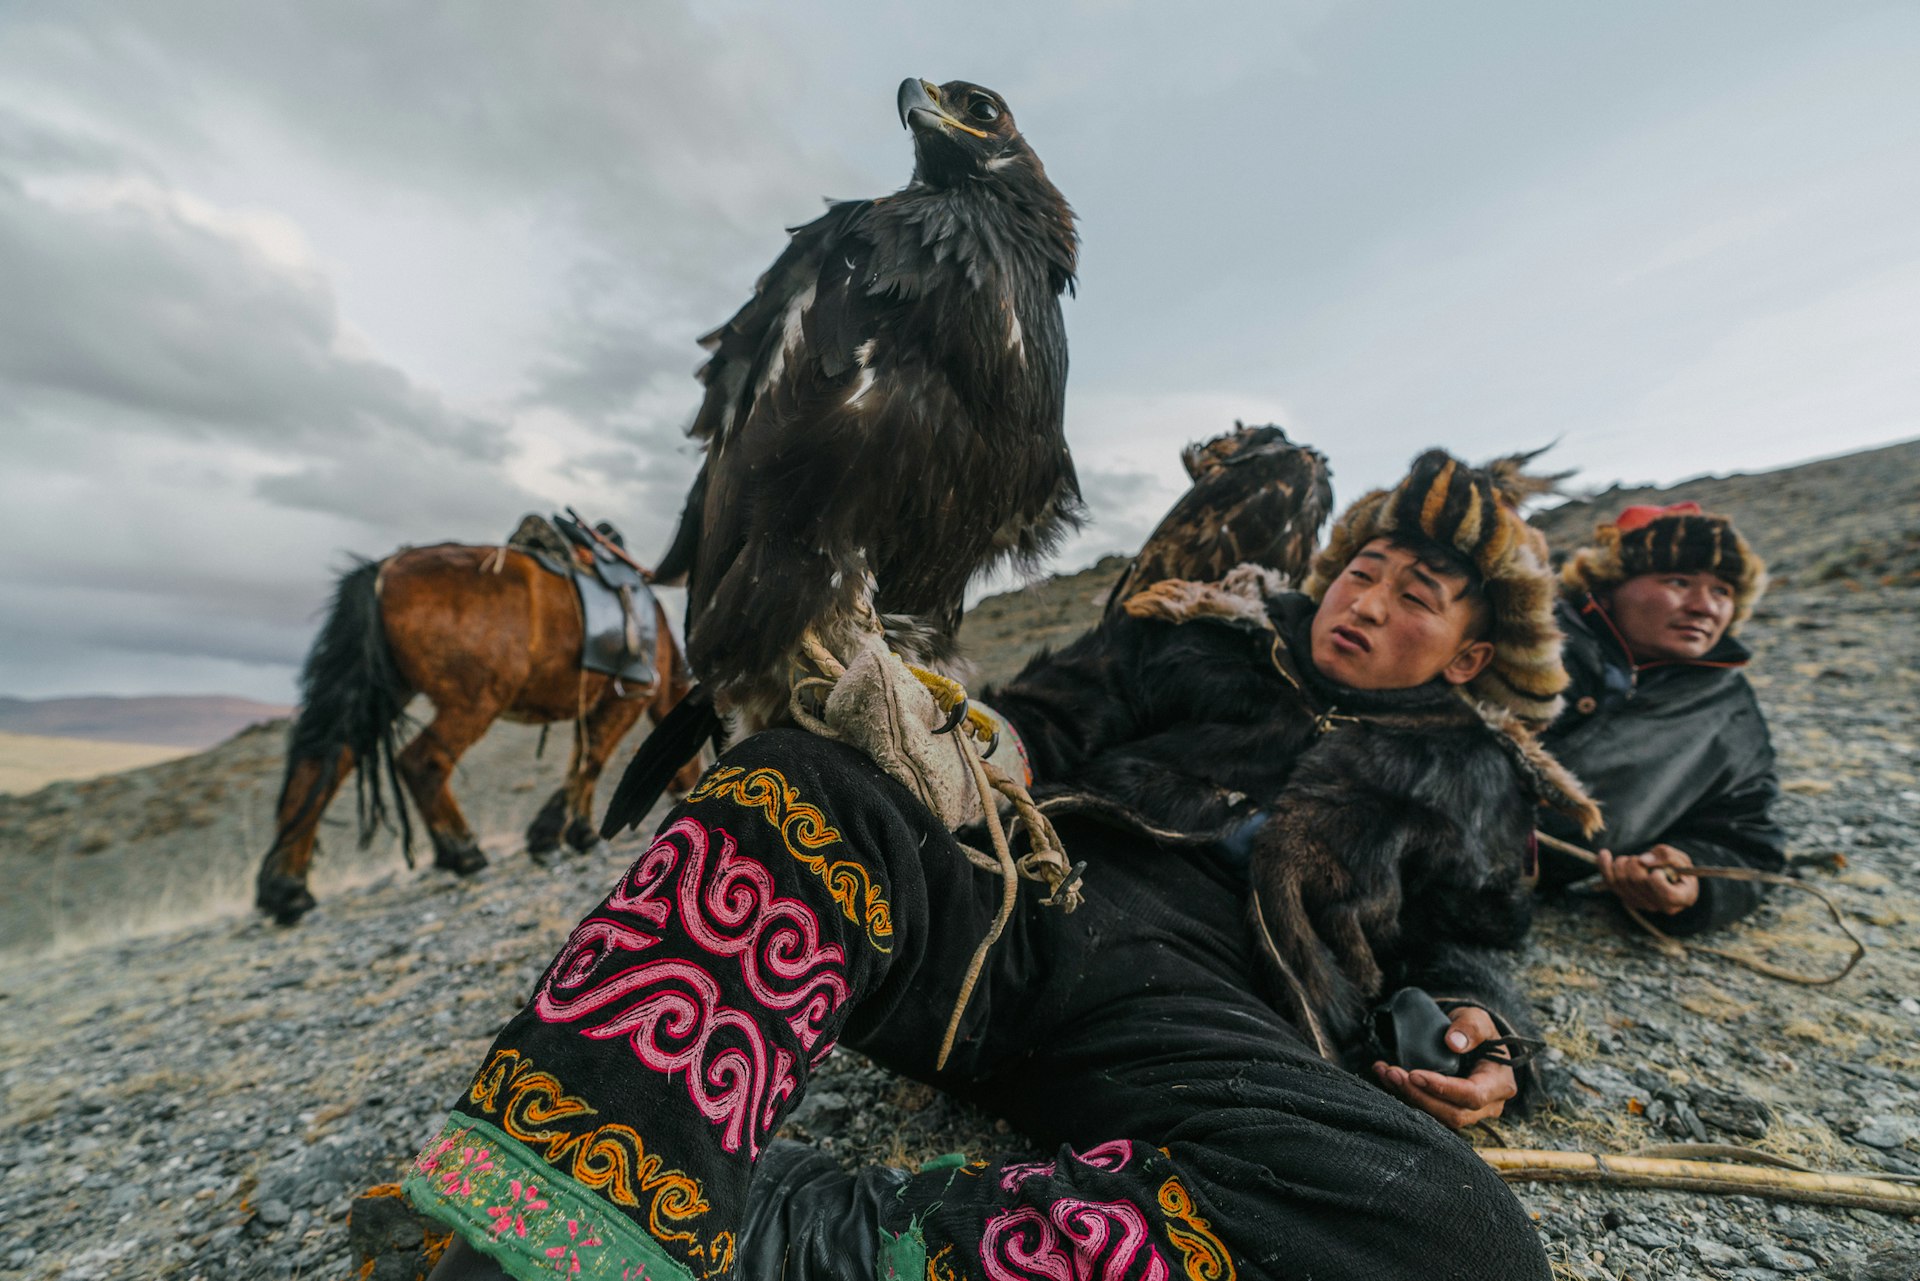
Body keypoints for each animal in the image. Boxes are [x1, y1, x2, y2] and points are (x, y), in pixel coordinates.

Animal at [255, 545, 702, 925]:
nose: (689, 786)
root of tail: (382, 569)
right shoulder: (622, 700)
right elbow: (590, 761)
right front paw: (576, 833)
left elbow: (581, 759)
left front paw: (556, 833)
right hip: (473, 702)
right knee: (422, 761)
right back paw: (463, 851)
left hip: (385, 691)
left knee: (325, 763)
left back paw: (287, 889)